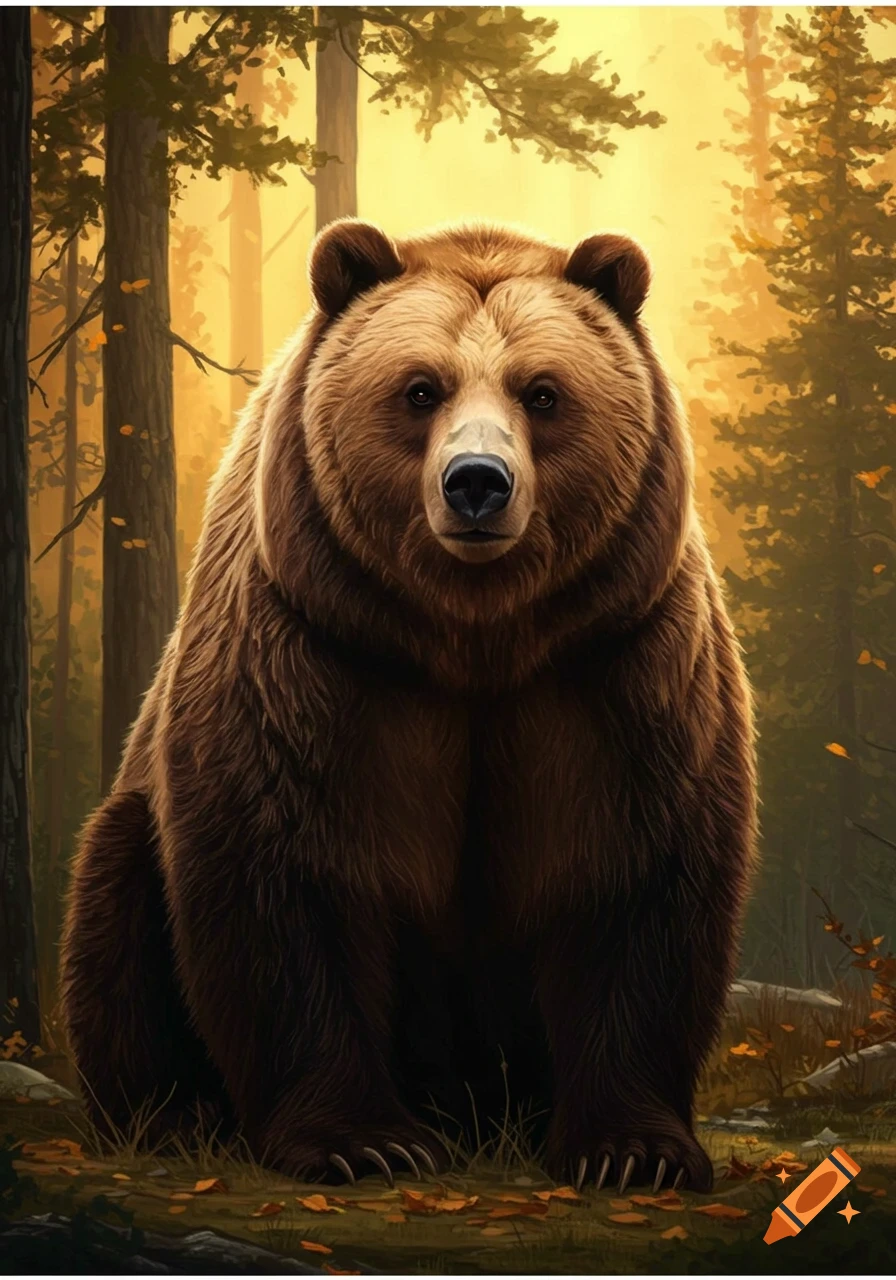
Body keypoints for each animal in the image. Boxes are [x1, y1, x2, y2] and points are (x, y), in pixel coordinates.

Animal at [60, 218, 758, 1195]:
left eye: (543, 391)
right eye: (420, 387)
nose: (477, 482)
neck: (472, 640)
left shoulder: (616, 663)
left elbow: (633, 876)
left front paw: (633, 1150)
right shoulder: (314, 656)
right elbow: (290, 877)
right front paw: (364, 1141)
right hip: (136, 838)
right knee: (115, 896)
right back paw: (174, 1117)